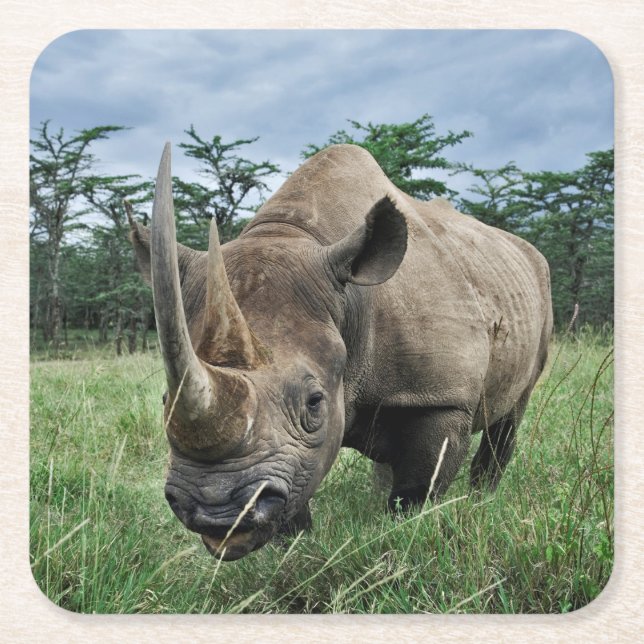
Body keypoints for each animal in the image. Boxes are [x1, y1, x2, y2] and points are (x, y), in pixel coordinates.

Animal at [129, 143, 552, 561]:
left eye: (314, 402)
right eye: (165, 400)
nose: (216, 513)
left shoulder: (441, 398)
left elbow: (416, 491)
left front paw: (403, 536)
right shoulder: (296, 452)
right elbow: (298, 492)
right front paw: (297, 550)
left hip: (535, 286)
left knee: (512, 413)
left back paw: (482, 501)